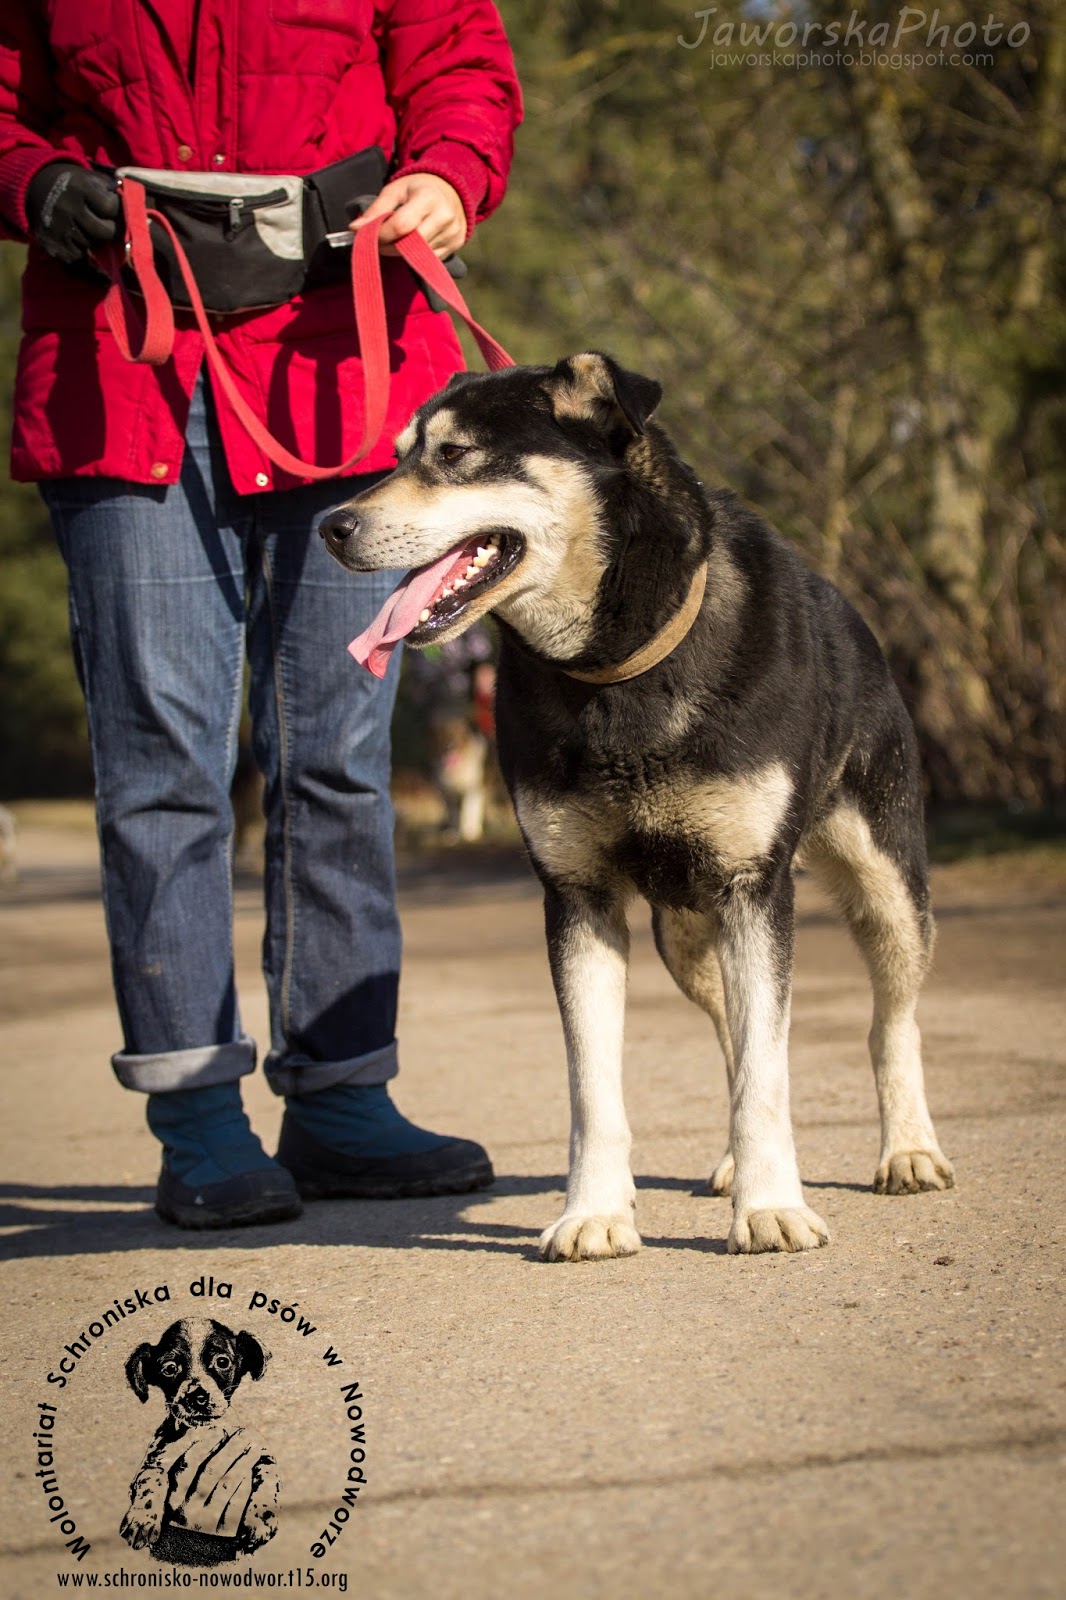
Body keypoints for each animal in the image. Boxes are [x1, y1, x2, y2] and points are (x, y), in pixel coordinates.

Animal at [121, 1318, 280, 1564]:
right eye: (169, 1368)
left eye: (222, 1361)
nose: (197, 1397)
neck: (204, 1431)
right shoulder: (156, 1460)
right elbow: (151, 1482)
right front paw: (142, 1520)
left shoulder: (260, 1452)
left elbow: (268, 1479)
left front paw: (260, 1521)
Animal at [320, 351, 954, 1262]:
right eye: (400, 453)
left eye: (456, 454)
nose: (329, 527)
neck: (620, 665)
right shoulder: (578, 898)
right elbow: (596, 1085)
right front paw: (595, 1212)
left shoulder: (753, 889)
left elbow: (768, 1070)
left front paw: (771, 1206)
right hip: (685, 935)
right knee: (729, 1030)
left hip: (886, 885)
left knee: (890, 1022)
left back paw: (907, 1149)